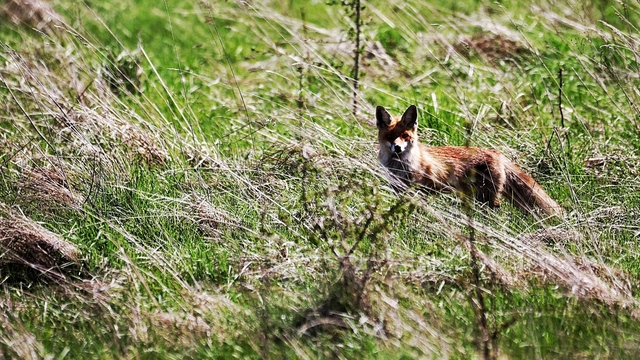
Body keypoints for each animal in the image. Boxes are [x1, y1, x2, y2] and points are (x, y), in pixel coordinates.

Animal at [378, 104, 564, 217]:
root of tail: (495, 152)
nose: (397, 148)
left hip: (488, 197)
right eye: (390, 137)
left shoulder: (420, 188)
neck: (399, 165)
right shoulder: (397, 188)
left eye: (405, 136)